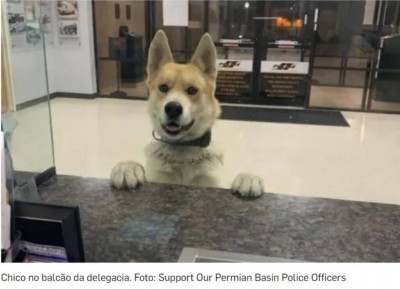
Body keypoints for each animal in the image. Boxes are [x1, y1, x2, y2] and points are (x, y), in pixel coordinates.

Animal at [111, 29, 264, 198]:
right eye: (163, 88)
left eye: (192, 90)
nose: (173, 108)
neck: (182, 151)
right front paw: (128, 167)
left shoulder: (215, 183)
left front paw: (248, 178)